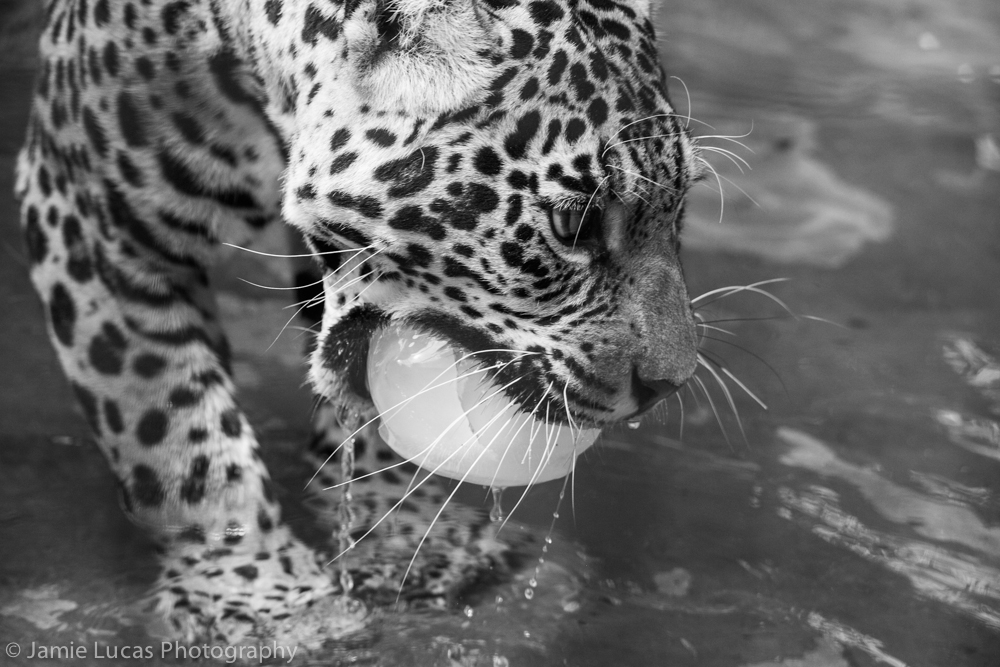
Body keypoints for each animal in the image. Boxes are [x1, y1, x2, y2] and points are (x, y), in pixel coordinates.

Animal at [14, 0, 702, 649]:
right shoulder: (93, 219)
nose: (666, 385)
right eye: (574, 225)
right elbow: (177, 431)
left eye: (679, 211)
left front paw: (404, 534)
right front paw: (260, 592)